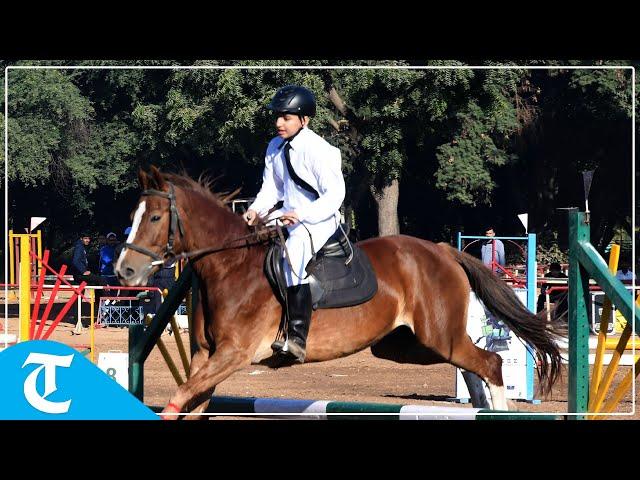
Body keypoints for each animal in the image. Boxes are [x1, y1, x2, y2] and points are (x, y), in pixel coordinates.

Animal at [117, 167, 564, 418]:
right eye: (133, 216)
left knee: (490, 362)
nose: (124, 271)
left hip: (439, 338)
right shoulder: (206, 356)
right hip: (407, 346)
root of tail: (440, 250)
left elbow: (181, 396)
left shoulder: (234, 354)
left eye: (154, 217)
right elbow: (192, 398)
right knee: (476, 366)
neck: (230, 266)